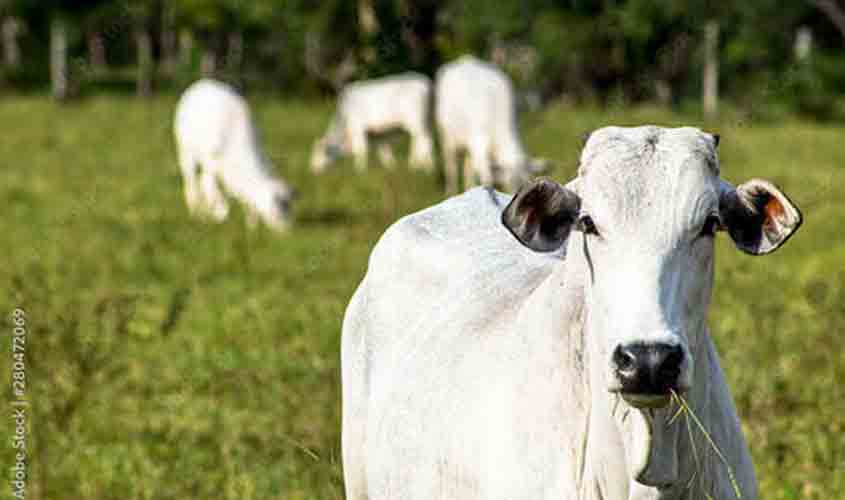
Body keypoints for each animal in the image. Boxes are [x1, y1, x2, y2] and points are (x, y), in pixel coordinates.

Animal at [173, 79, 296, 231]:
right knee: (191, 183)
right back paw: (197, 213)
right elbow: (209, 187)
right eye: (277, 211)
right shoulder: (212, 165)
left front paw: (251, 226)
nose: (288, 231)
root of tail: (201, 83)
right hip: (186, 152)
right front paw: (218, 215)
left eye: (290, 208)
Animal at [436, 55, 548, 194]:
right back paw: (451, 191)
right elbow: (487, 178)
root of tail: (465, 59)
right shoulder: (479, 146)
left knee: (467, 168)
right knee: (451, 166)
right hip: (447, 137)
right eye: (509, 184)